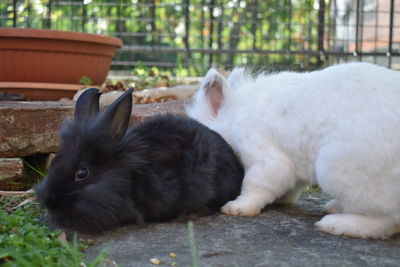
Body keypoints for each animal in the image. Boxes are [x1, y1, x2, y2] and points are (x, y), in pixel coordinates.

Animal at [187, 63, 400, 241]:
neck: (234, 115)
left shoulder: (264, 158)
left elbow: (254, 186)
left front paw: (237, 208)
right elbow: (290, 186)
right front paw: (281, 200)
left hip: (336, 169)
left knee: (385, 220)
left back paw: (334, 224)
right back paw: (333, 208)